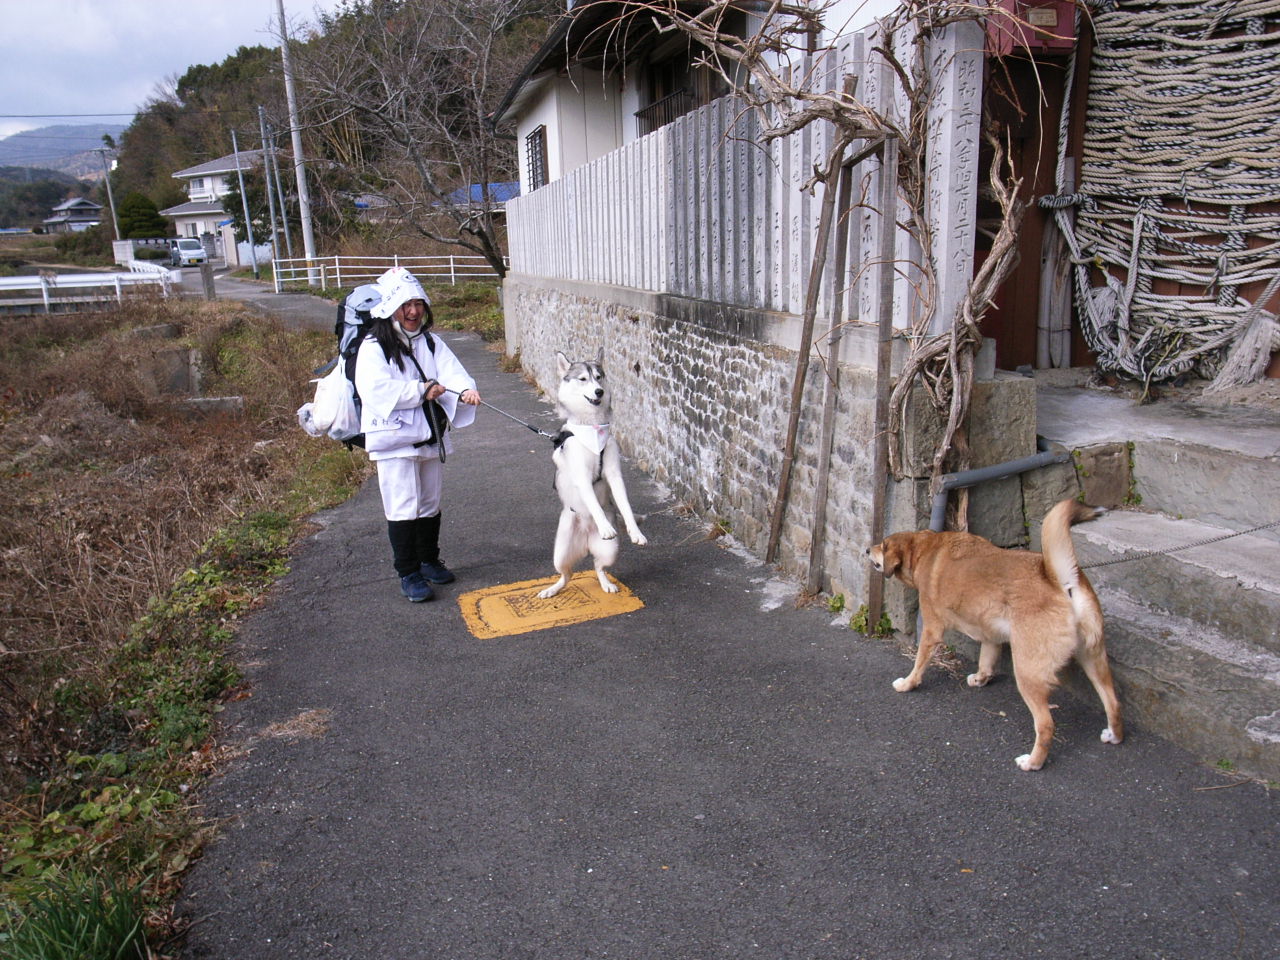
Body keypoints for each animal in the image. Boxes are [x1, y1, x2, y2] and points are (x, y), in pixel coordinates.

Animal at [535, 350, 645, 601]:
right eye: (583, 379)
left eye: (599, 377)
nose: (599, 391)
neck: (593, 428)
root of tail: (585, 539)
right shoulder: (582, 477)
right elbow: (594, 505)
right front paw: (605, 526)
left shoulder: (614, 475)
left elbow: (625, 506)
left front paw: (635, 532)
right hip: (560, 554)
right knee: (566, 575)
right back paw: (551, 589)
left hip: (610, 551)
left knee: (598, 567)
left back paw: (606, 583)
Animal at [865, 499, 1126, 773]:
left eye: (882, 545)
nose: (867, 549)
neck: (924, 550)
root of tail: (1059, 581)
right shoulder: (991, 635)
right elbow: (986, 661)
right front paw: (981, 679)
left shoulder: (931, 629)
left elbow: (919, 664)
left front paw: (908, 684)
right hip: (1094, 659)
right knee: (1113, 702)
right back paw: (1114, 735)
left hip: (1028, 673)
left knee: (1046, 725)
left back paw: (1033, 762)